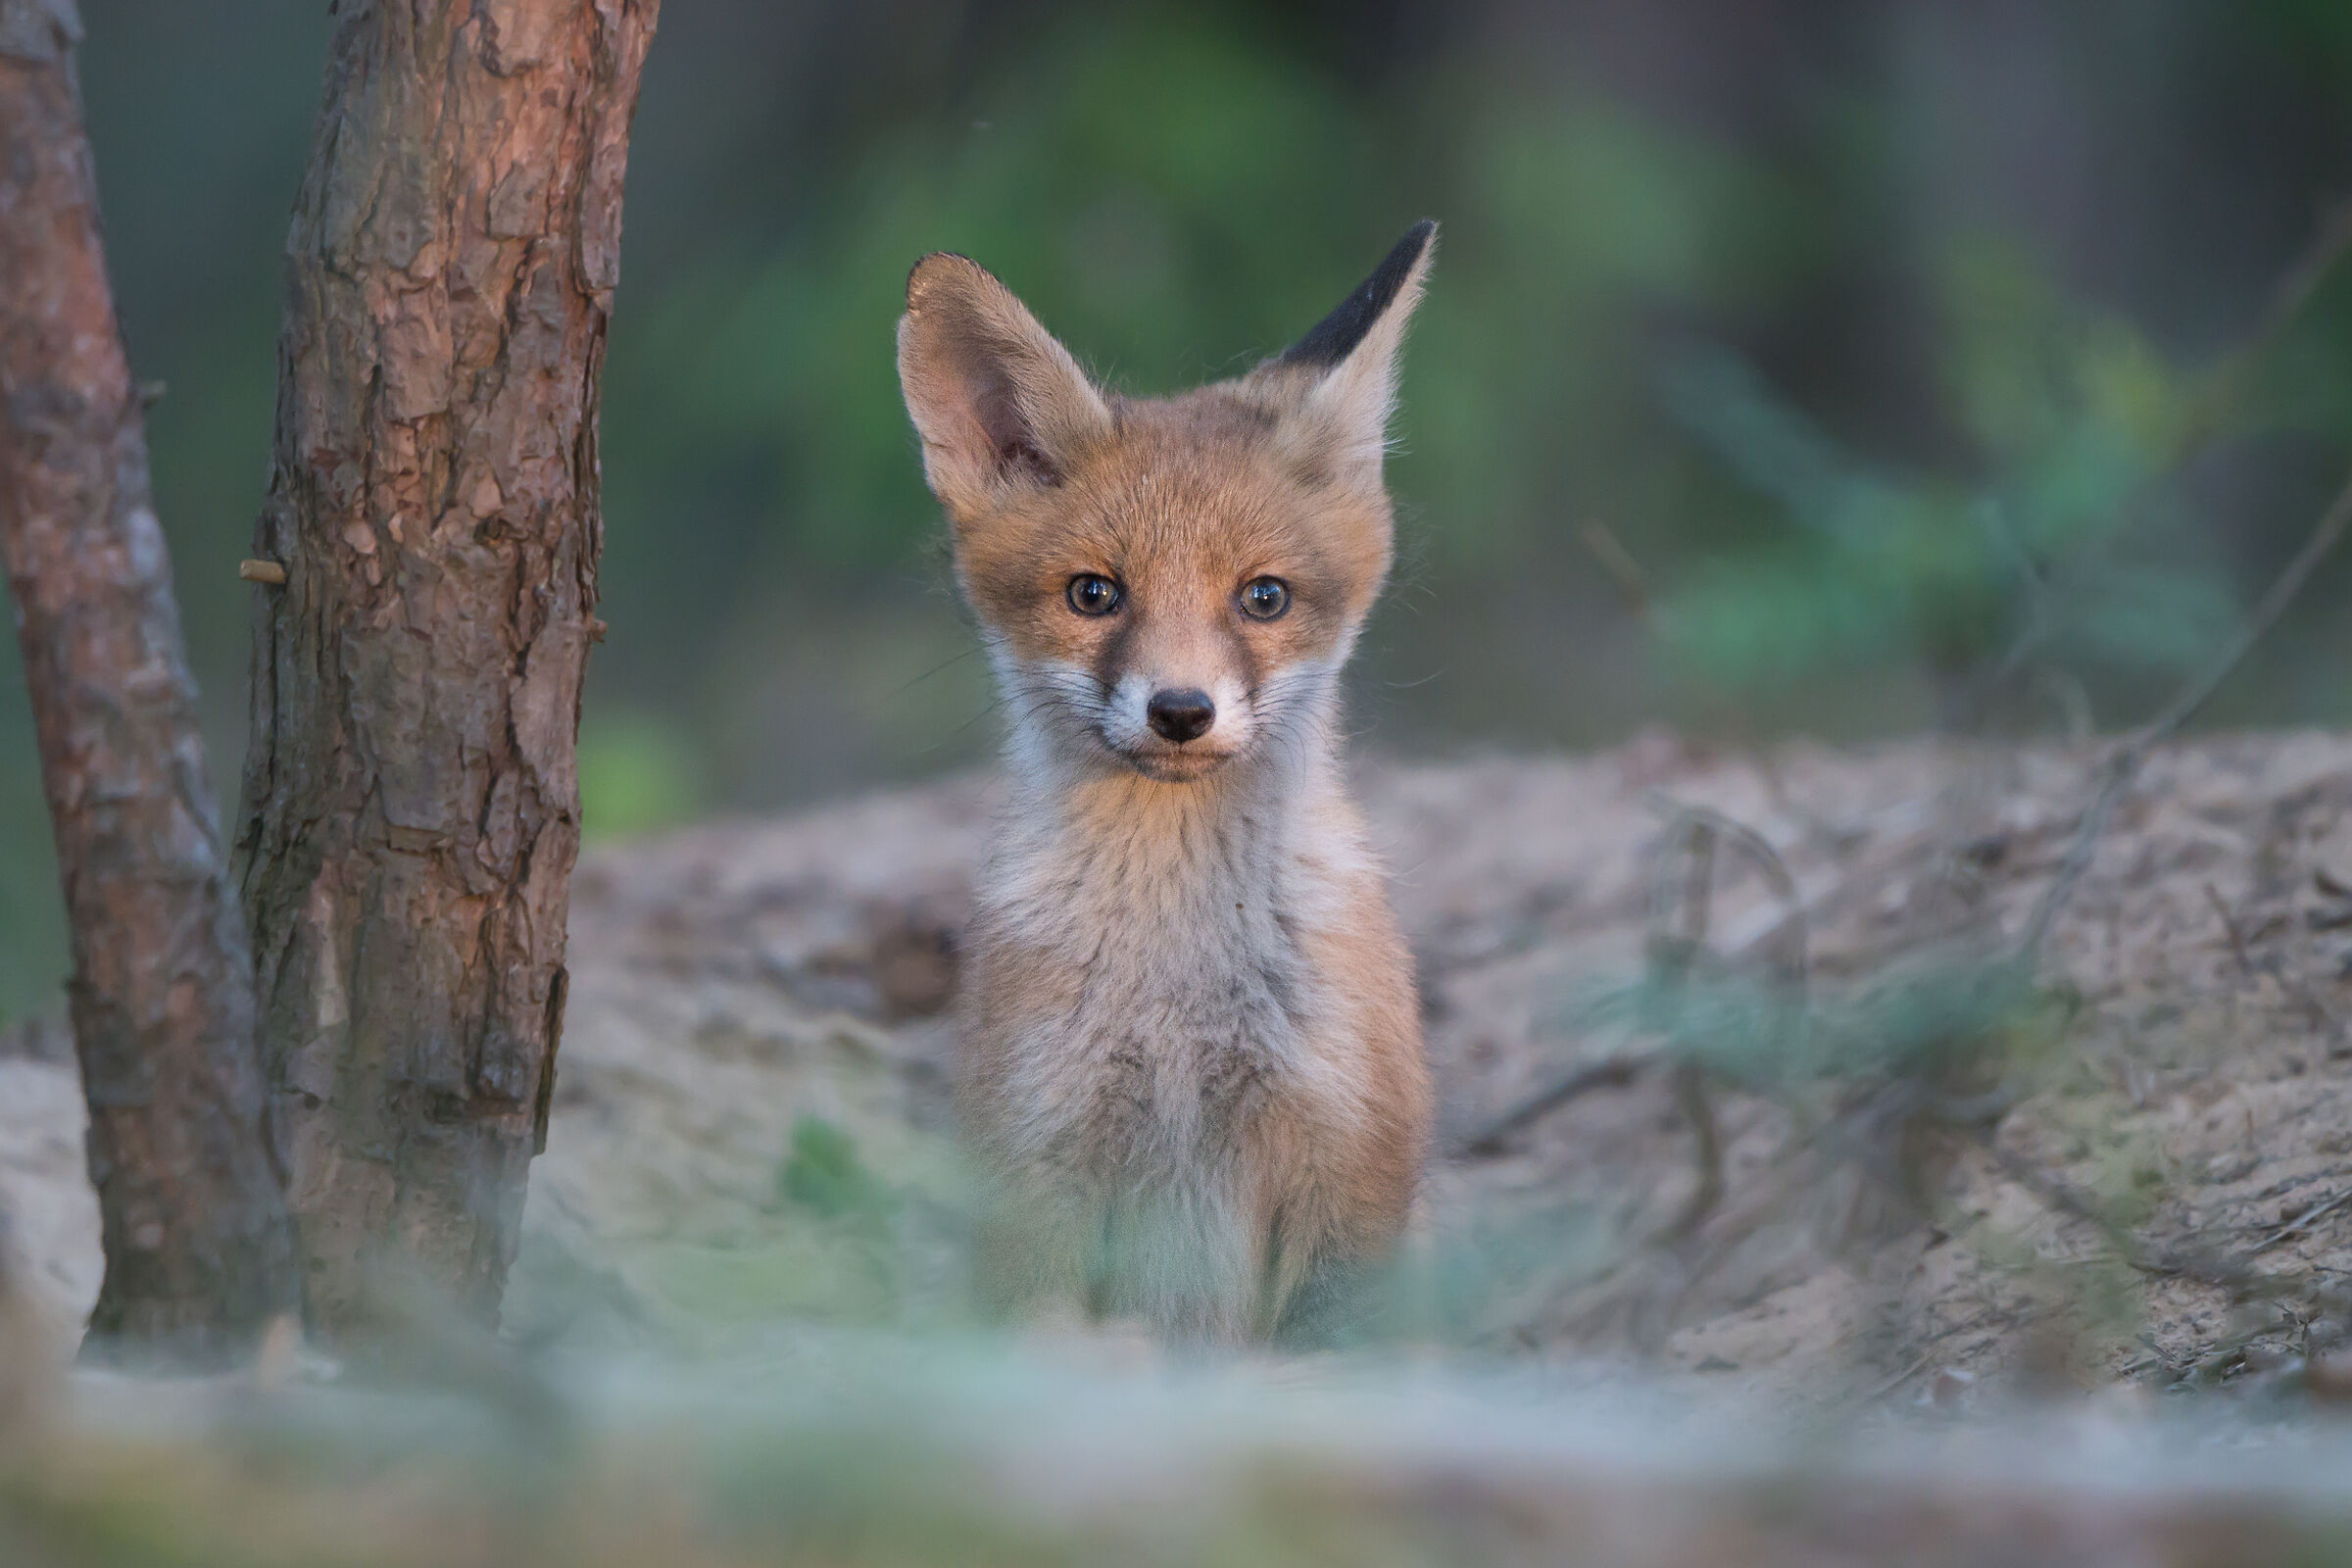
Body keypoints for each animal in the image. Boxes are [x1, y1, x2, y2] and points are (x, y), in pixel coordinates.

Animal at [895, 222, 1438, 1345]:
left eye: (1263, 597)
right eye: (1094, 595)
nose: (1181, 710)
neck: (1178, 999)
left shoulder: (1353, 1176)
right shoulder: (1033, 1172)